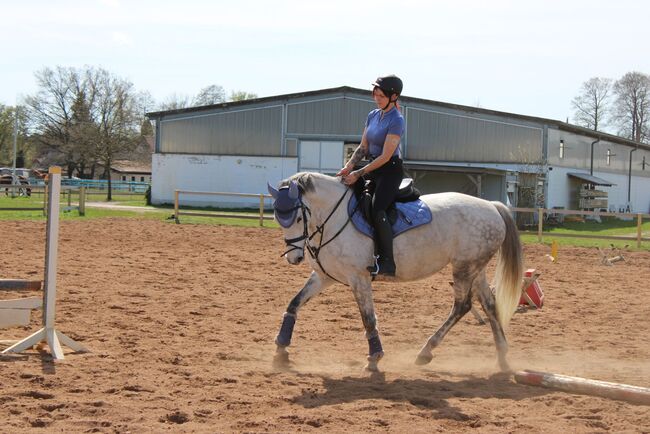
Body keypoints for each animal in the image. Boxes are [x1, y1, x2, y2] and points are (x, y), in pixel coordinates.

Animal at [266, 171, 524, 372]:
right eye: (279, 218)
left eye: (298, 218)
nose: (294, 258)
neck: (334, 218)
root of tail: (492, 206)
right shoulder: (324, 277)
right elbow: (294, 303)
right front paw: (280, 349)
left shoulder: (359, 278)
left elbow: (368, 319)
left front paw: (374, 358)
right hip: (475, 268)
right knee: (489, 304)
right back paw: (502, 357)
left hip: (463, 268)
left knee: (462, 306)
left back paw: (425, 352)